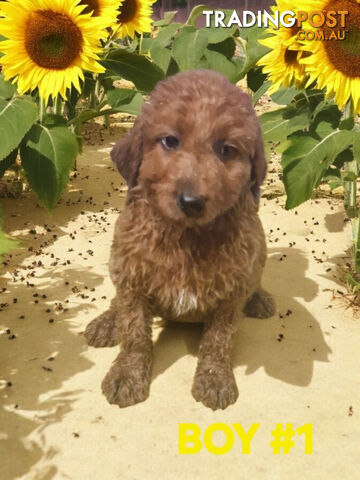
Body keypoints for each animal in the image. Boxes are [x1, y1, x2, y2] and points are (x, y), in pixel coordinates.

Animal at [85, 69, 276, 410]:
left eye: (227, 150)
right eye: (170, 141)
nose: (191, 201)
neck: (186, 235)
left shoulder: (232, 289)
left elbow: (218, 340)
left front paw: (214, 378)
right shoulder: (131, 274)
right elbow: (134, 332)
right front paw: (126, 375)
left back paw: (259, 299)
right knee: (116, 301)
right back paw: (107, 322)